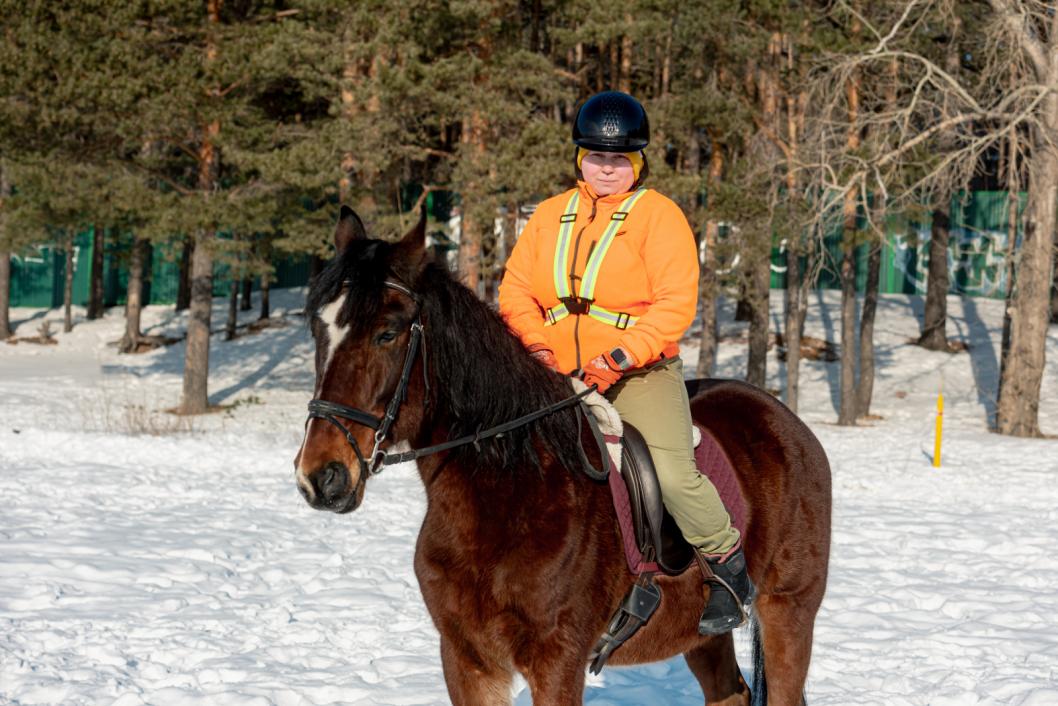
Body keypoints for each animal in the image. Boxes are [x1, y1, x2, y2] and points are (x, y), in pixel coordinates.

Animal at [294, 205, 829, 706]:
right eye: (318, 330)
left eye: (388, 332)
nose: (322, 477)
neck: (503, 497)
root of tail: (788, 423)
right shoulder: (467, 659)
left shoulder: (557, 661)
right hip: (700, 635)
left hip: (789, 611)